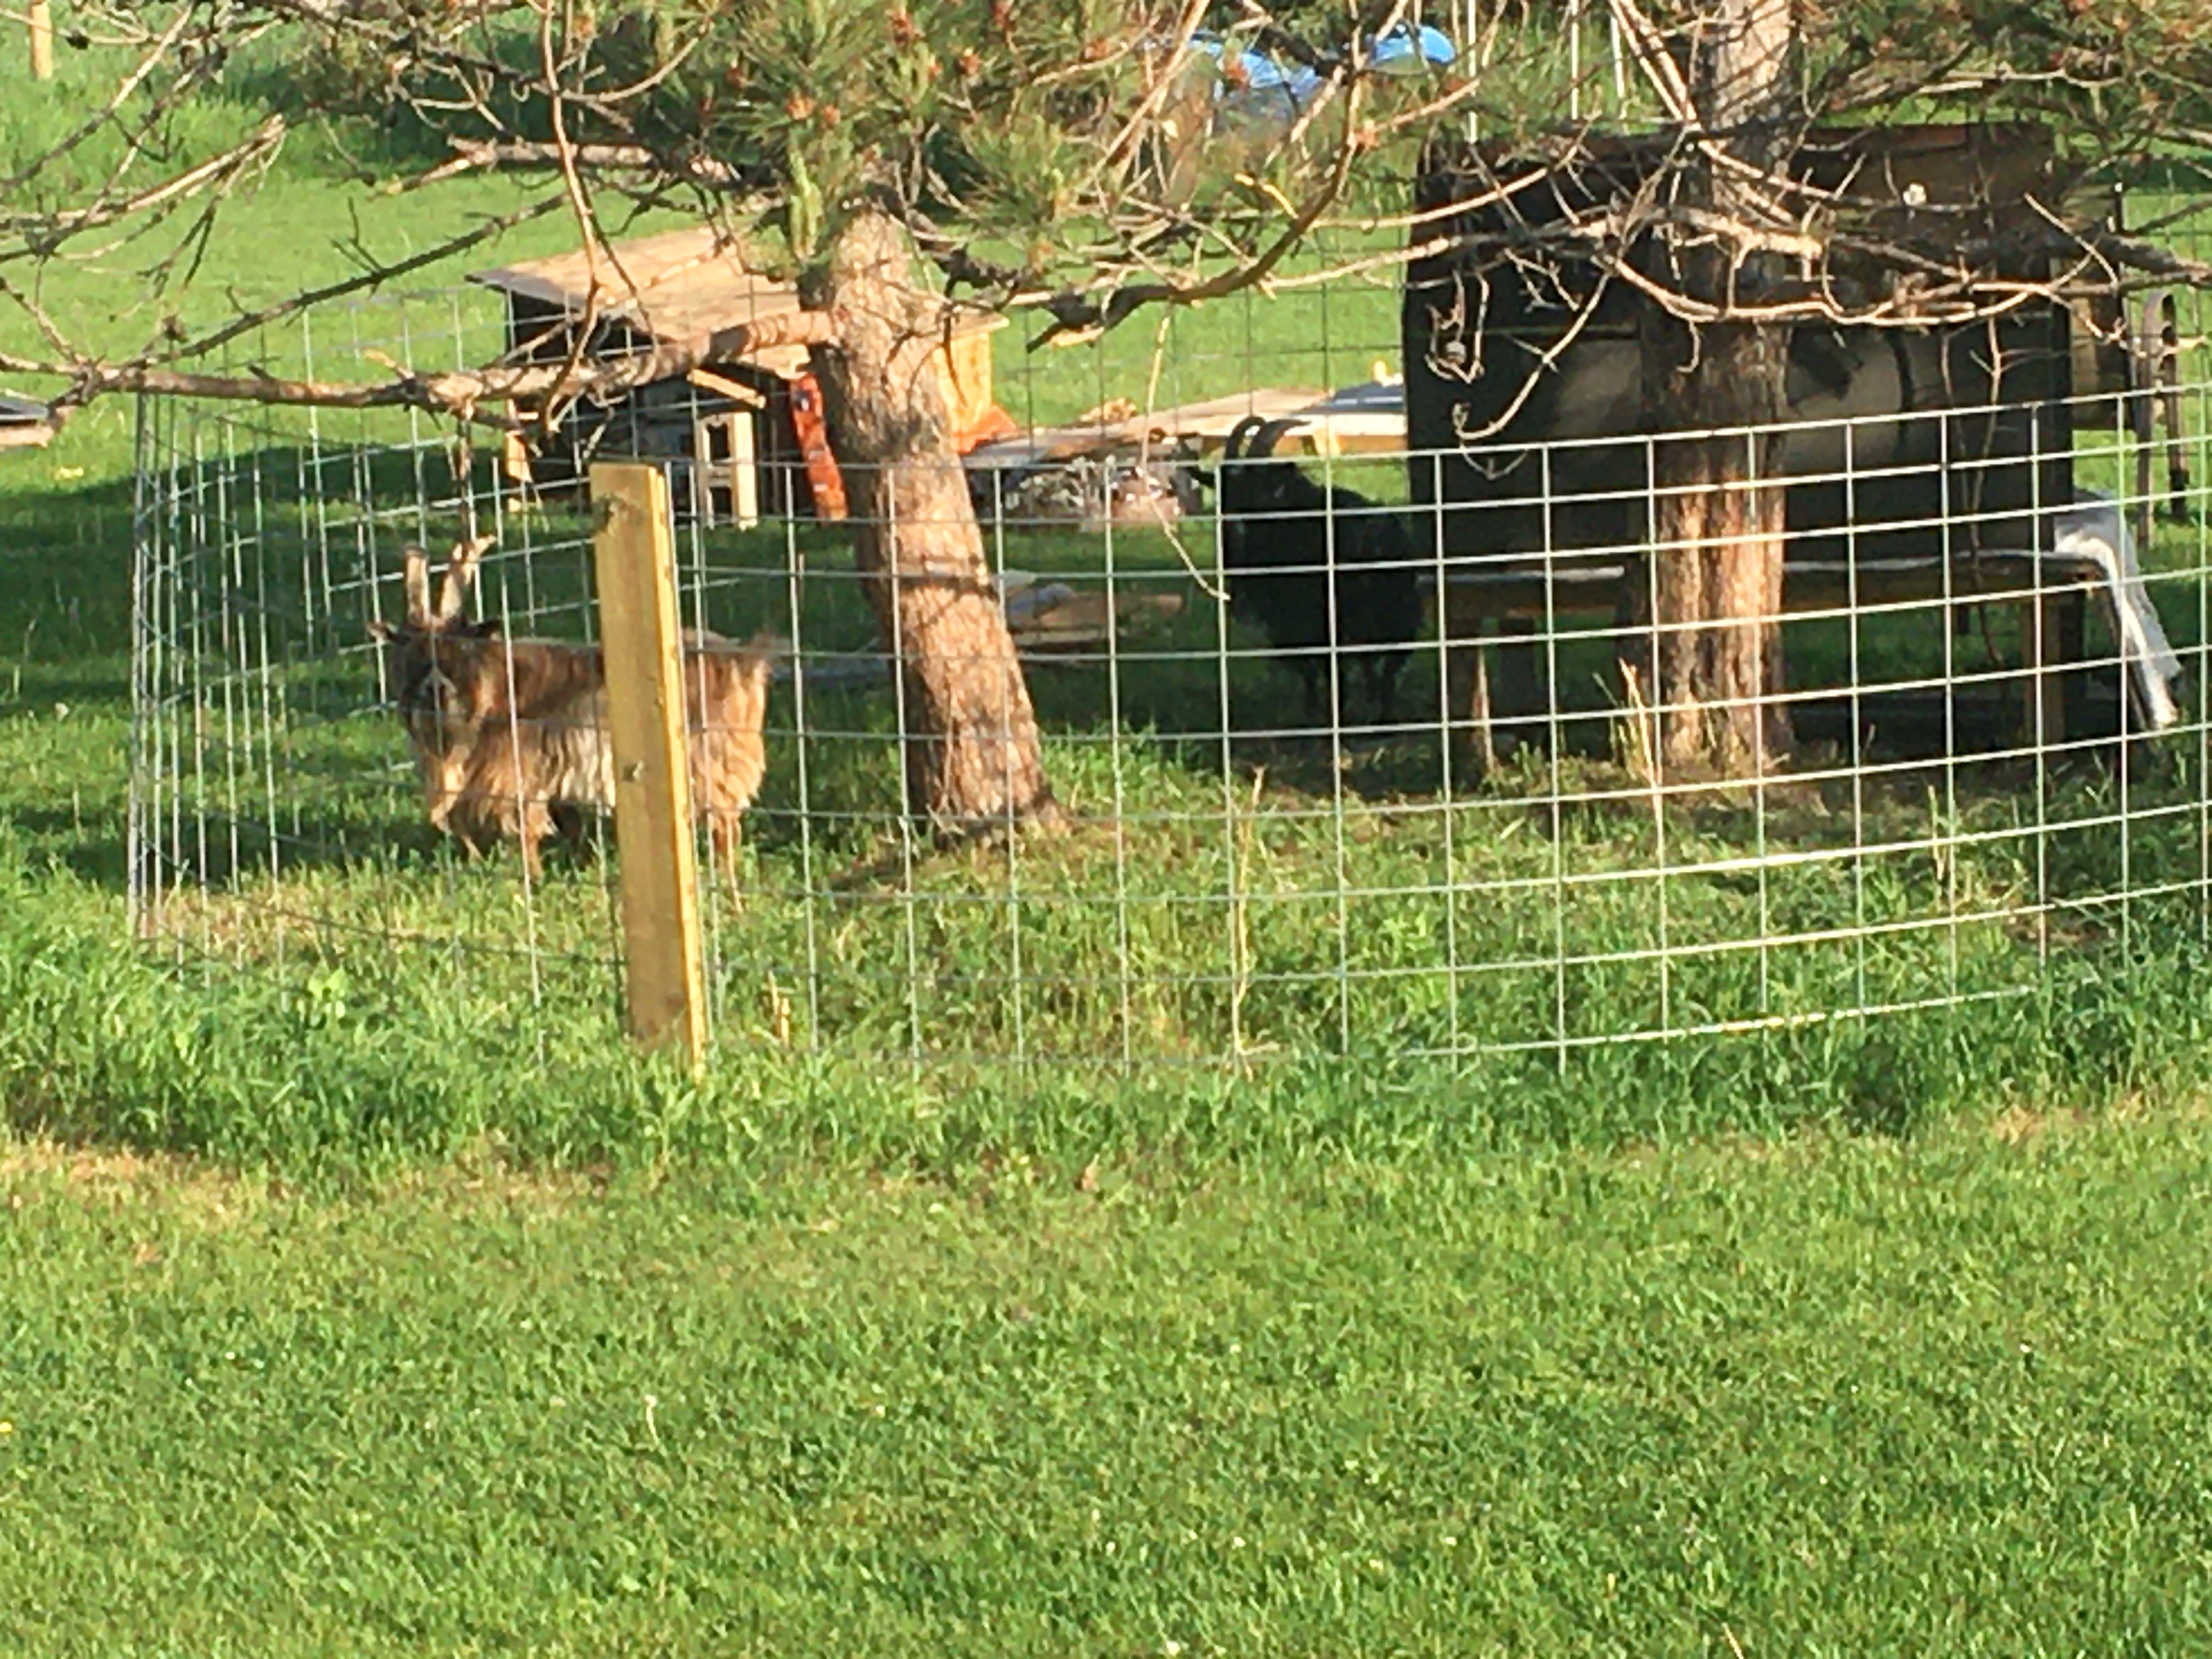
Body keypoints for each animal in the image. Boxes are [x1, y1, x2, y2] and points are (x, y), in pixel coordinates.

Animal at [380, 541, 787, 884]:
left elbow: (526, 833)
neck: (493, 689)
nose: (434, 689)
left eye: (460, 648)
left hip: (714, 767)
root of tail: (746, 660)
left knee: (725, 828)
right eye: (410, 652)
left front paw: (534, 883)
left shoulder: (517, 777)